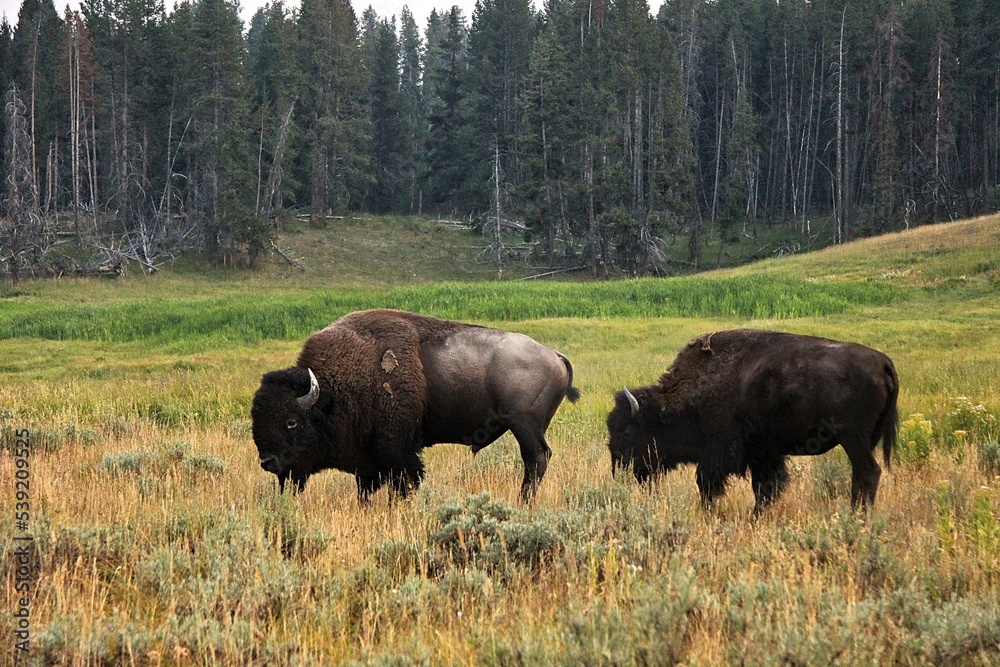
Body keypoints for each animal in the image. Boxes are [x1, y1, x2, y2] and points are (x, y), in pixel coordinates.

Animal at [250, 310, 580, 504]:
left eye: (291, 421)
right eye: (257, 418)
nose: (268, 462)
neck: (331, 394)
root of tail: (554, 354)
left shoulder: (396, 449)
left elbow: (405, 480)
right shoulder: (368, 458)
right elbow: (365, 487)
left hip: (524, 424)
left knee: (535, 458)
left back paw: (522, 501)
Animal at [604, 332, 904, 516]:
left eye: (627, 430)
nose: (619, 468)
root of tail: (884, 362)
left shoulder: (719, 455)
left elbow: (706, 484)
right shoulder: (765, 455)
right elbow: (764, 488)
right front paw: (756, 515)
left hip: (852, 438)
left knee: (868, 472)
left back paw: (857, 516)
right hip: (864, 440)